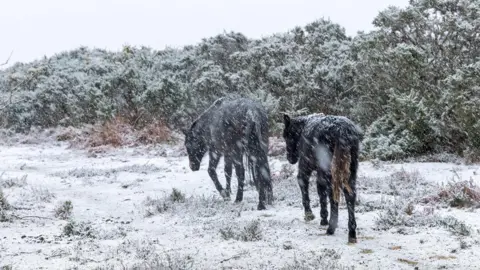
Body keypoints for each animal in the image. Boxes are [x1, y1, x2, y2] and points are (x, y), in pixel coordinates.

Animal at [282, 113, 360, 244]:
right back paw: (352, 233)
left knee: (333, 196)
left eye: (286, 136)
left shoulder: (305, 169)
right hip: (351, 171)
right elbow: (321, 192)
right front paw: (323, 218)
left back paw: (331, 228)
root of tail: (342, 131)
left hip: (329, 170)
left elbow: (307, 188)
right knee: (350, 196)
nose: (290, 158)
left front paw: (311, 215)